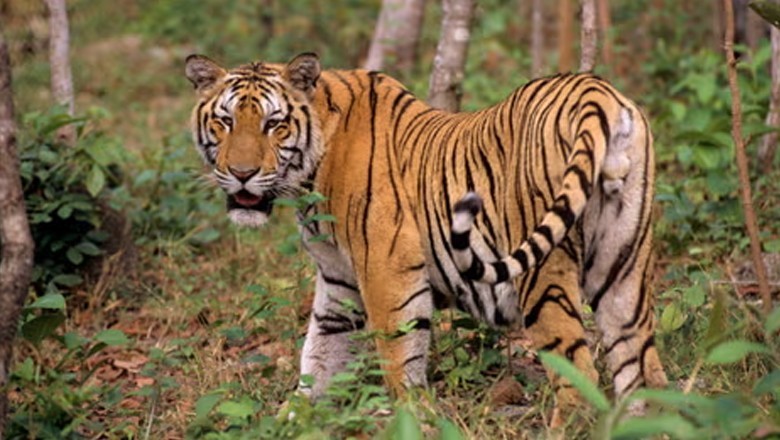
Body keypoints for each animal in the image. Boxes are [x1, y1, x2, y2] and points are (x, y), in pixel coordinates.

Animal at [184, 52, 668, 417]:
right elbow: (320, 354)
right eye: (225, 122)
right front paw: (293, 419)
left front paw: (411, 416)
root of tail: (593, 91)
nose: (242, 174)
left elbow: (399, 353)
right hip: (623, 269)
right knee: (644, 372)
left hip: (544, 277)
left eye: (273, 124)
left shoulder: (388, 271)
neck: (310, 174)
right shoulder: (338, 282)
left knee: (579, 374)